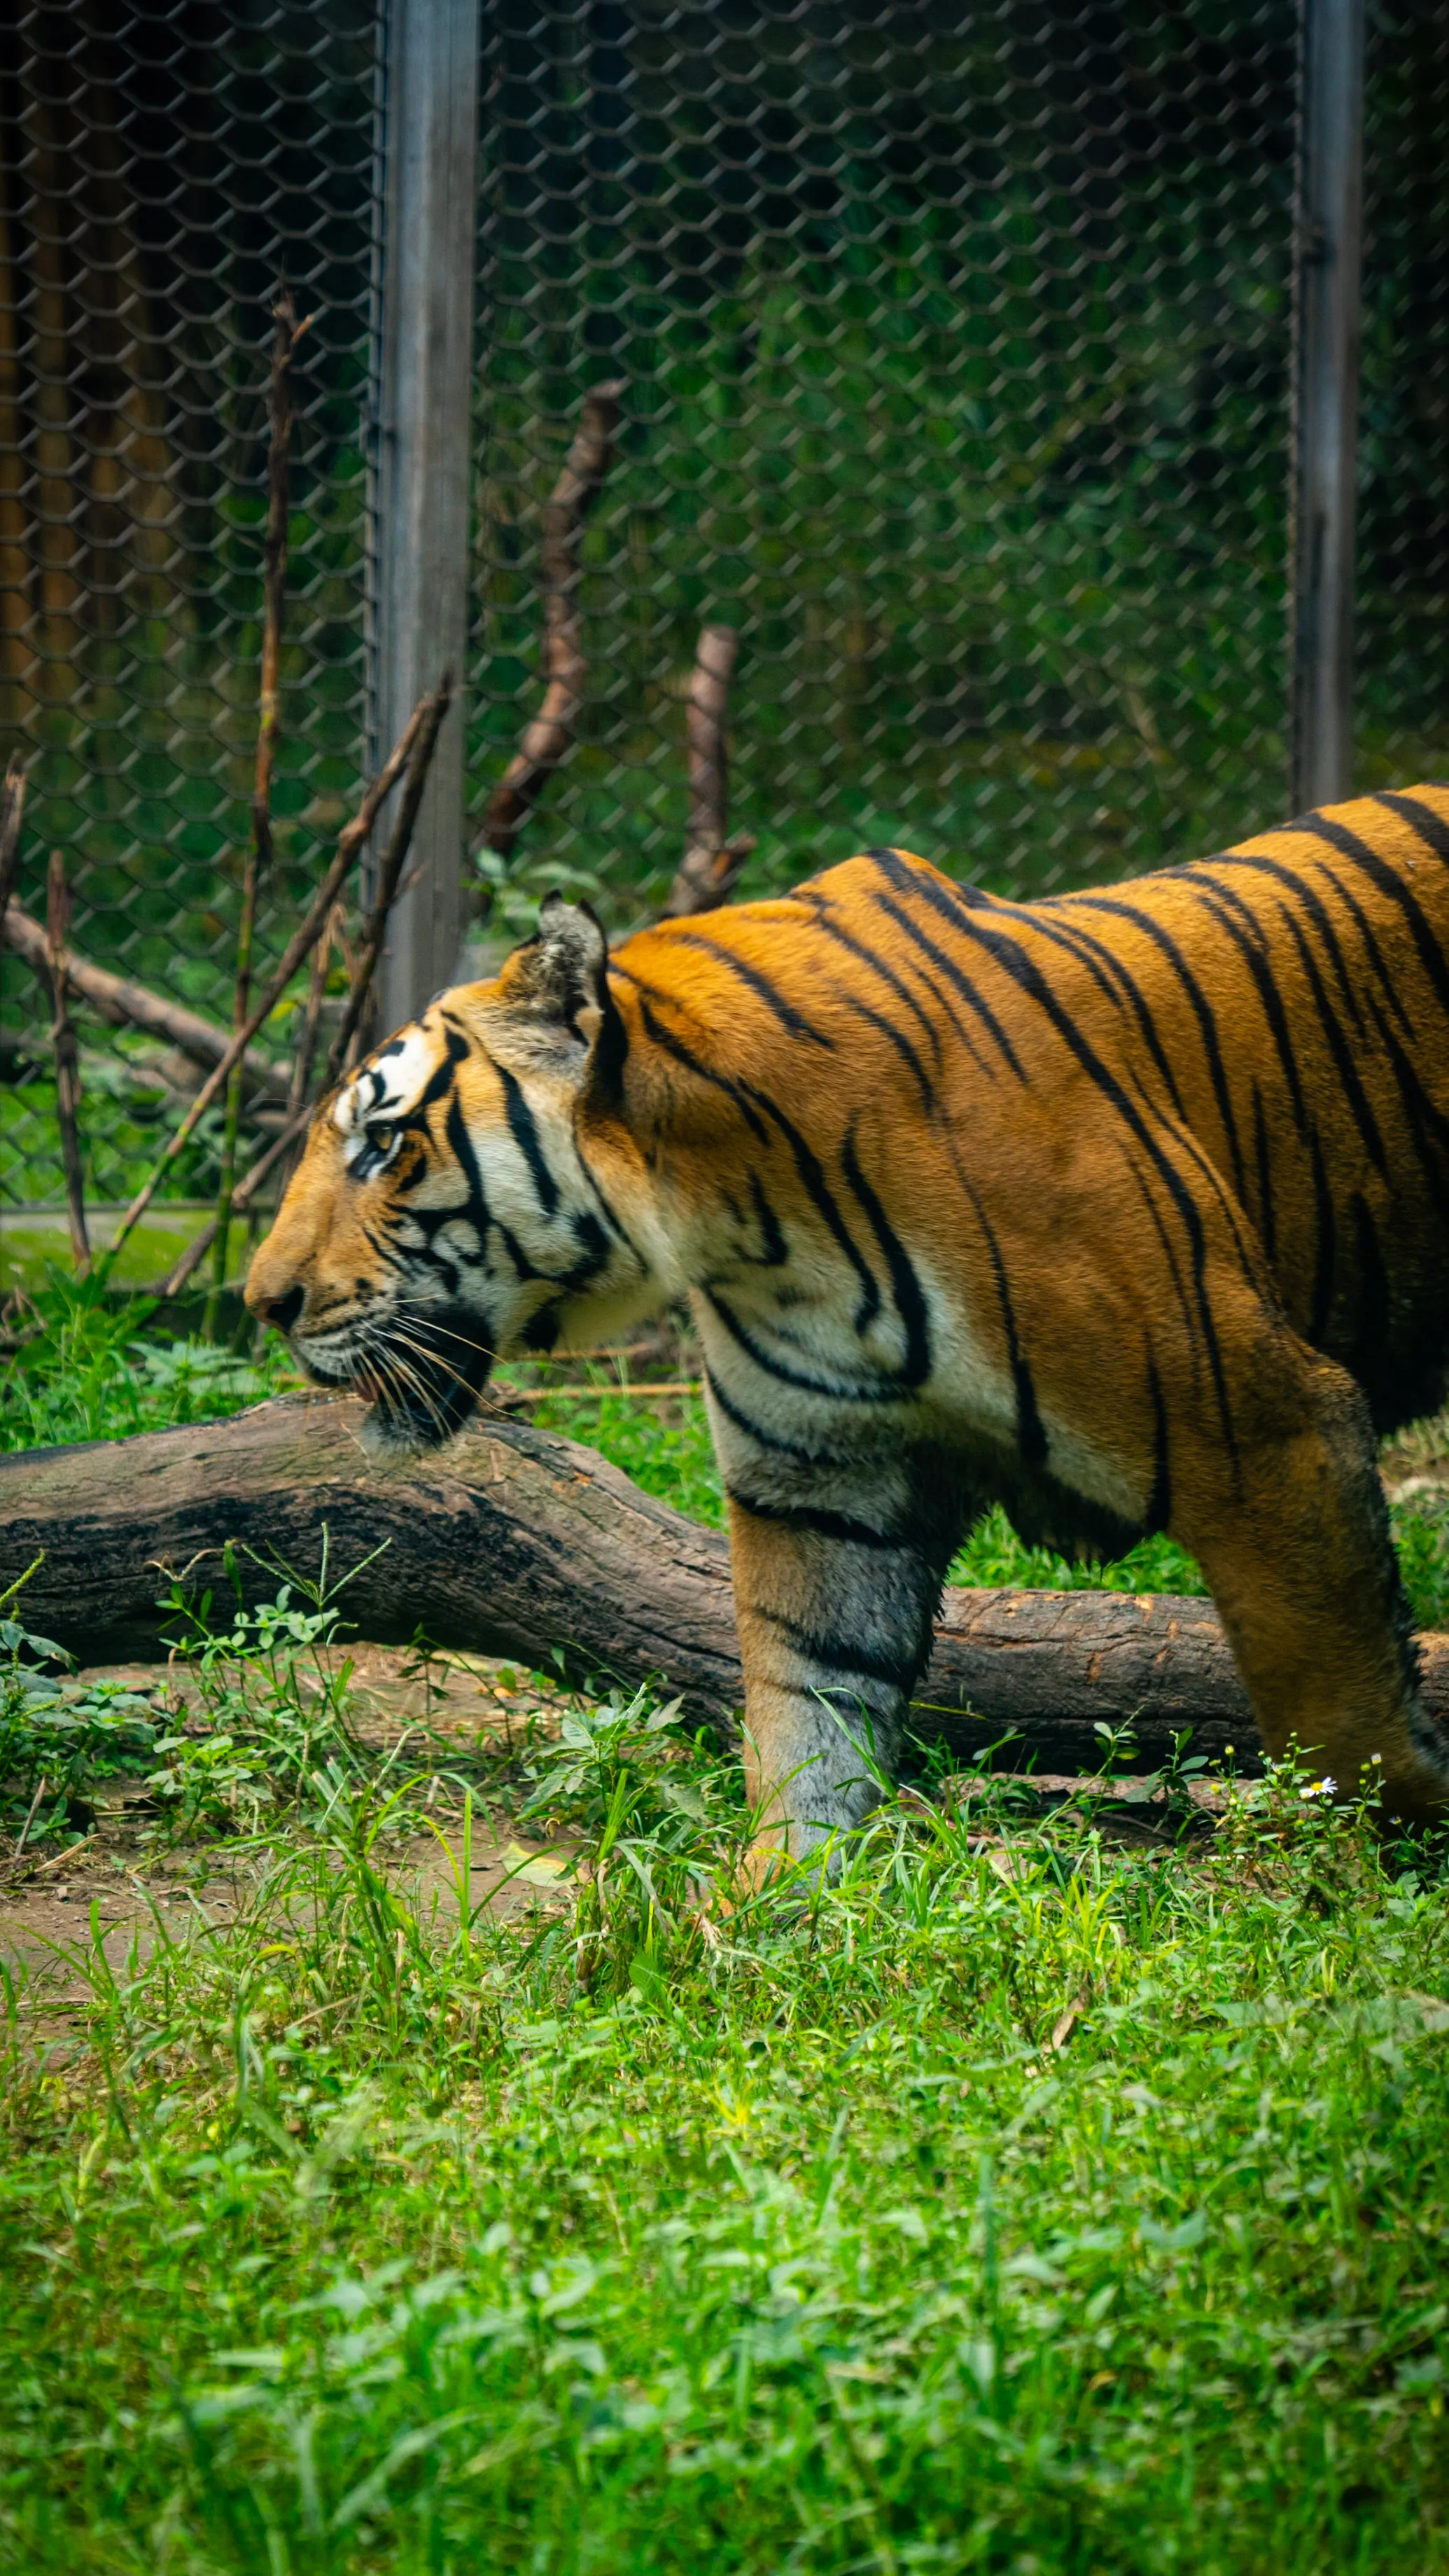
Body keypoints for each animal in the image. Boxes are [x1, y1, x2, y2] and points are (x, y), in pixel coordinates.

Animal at [245, 786, 1449, 1856]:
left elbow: (1339, 1720)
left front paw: (1379, 1877)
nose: (263, 1301)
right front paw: (771, 1917)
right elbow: (806, 1712)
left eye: (384, 1143)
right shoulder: (820, 1486)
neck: (745, 1225)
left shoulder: (1265, 1434)